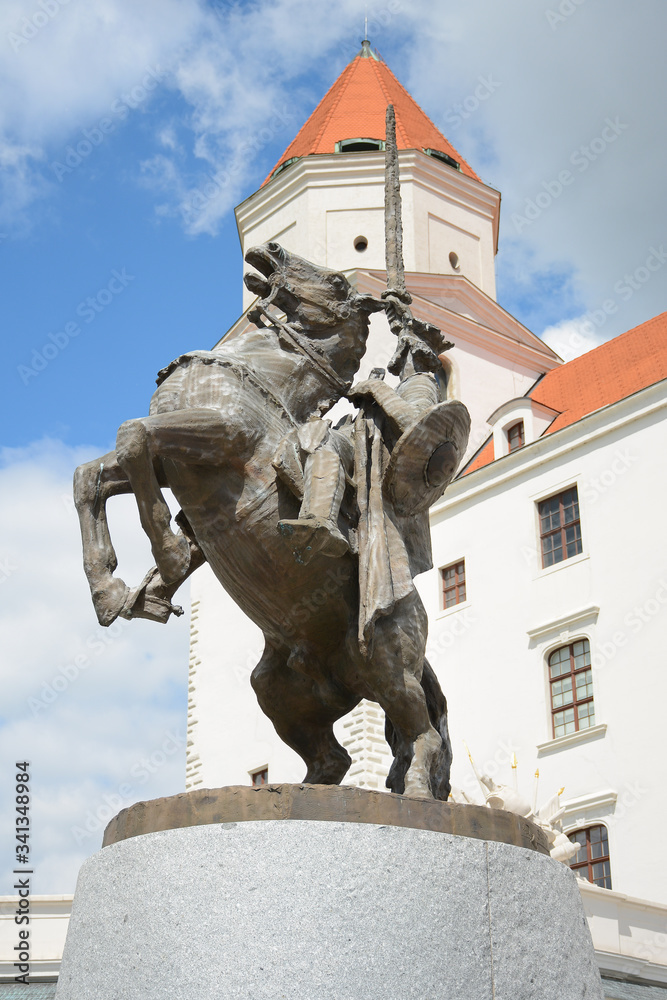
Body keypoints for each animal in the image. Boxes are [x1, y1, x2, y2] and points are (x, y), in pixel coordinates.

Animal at [73, 242, 468, 796]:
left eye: (339, 284)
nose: (271, 250)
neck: (256, 368)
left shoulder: (220, 437)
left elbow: (133, 437)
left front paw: (168, 556)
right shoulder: (170, 462)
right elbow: (92, 474)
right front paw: (111, 590)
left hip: (389, 661)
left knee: (422, 733)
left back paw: (413, 792)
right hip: (279, 691)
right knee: (334, 759)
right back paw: (297, 793)